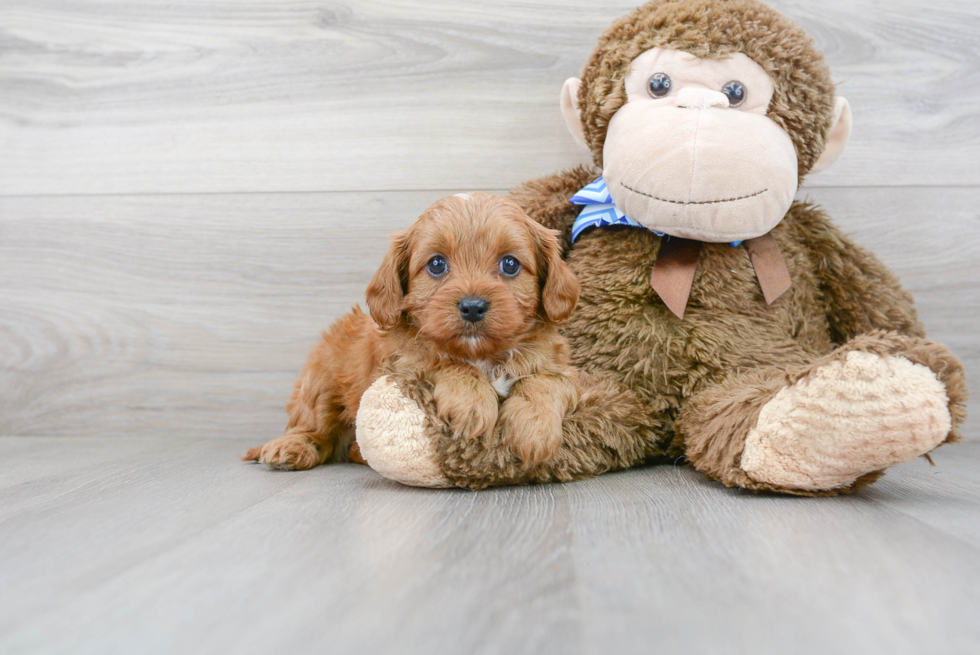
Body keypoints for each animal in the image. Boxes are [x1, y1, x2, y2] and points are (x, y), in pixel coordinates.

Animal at [244, 193, 580, 472]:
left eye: (510, 264)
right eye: (436, 264)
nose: (472, 307)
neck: (481, 355)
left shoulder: (567, 373)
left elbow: (546, 381)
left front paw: (535, 428)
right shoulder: (401, 366)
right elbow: (441, 361)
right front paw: (472, 402)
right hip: (321, 378)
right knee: (311, 425)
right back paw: (289, 447)